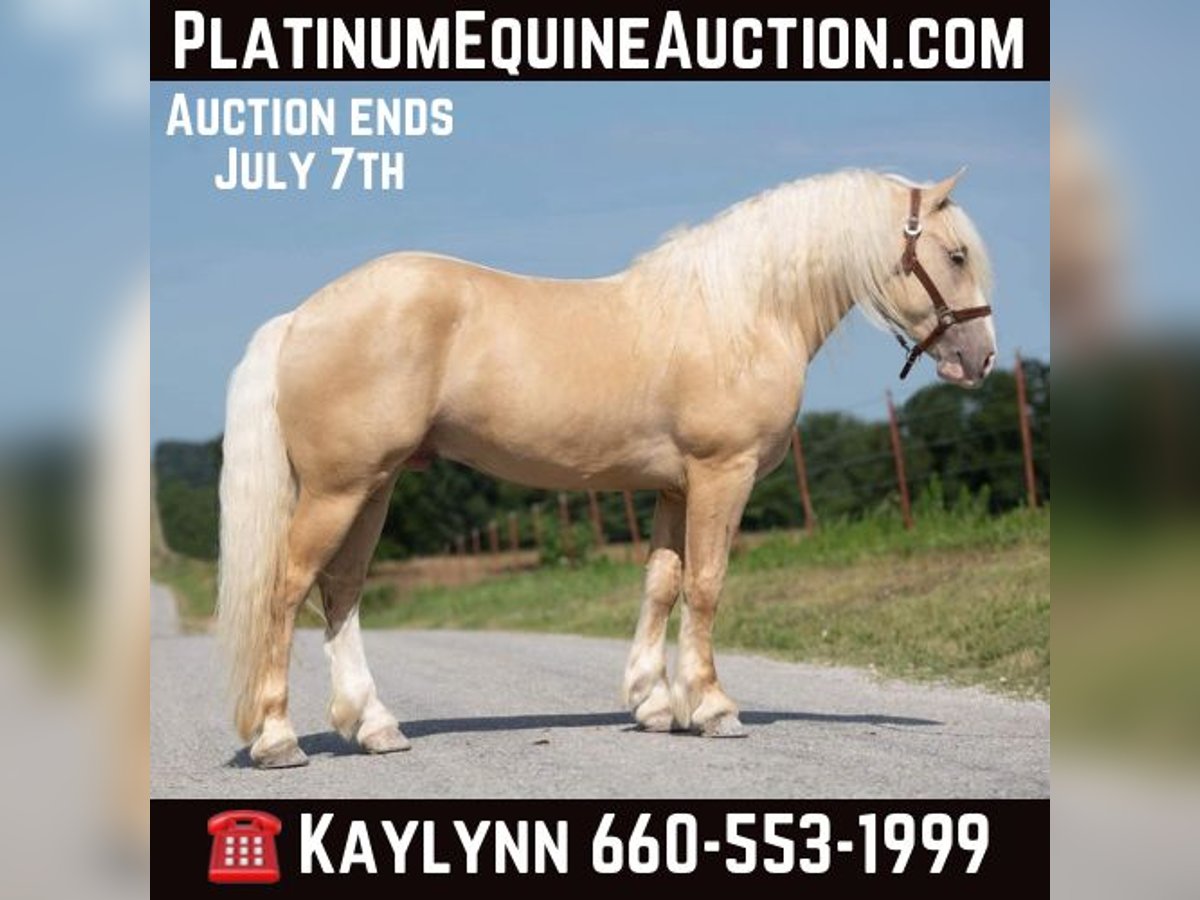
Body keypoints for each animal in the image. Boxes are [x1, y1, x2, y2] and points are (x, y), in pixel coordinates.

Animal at [217, 167, 997, 768]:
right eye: (956, 255)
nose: (980, 359)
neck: (742, 311)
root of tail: (300, 317)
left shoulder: (674, 488)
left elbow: (661, 584)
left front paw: (653, 702)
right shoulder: (723, 474)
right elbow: (707, 586)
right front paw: (712, 708)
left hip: (373, 487)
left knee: (341, 591)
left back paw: (375, 726)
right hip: (338, 489)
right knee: (288, 591)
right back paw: (278, 739)